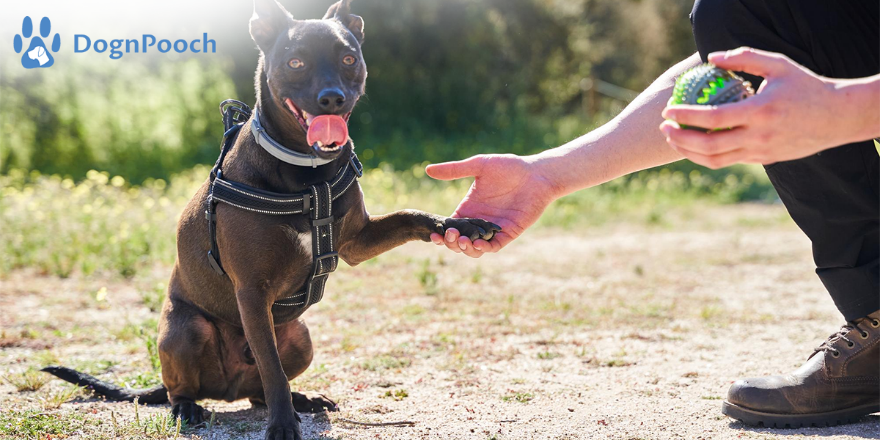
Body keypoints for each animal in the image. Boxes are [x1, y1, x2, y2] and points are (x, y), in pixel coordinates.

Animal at [41, 0, 498, 440]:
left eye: (349, 58)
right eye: (295, 62)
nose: (332, 98)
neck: (308, 175)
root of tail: (226, 392)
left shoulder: (355, 242)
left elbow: (411, 215)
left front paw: (461, 225)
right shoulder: (252, 291)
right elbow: (272, 369)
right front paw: (281, 427)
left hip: (299, 335)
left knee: (258, 389)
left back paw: (302, 399)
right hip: (187, 330)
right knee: (189, 387)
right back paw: (190, 409)